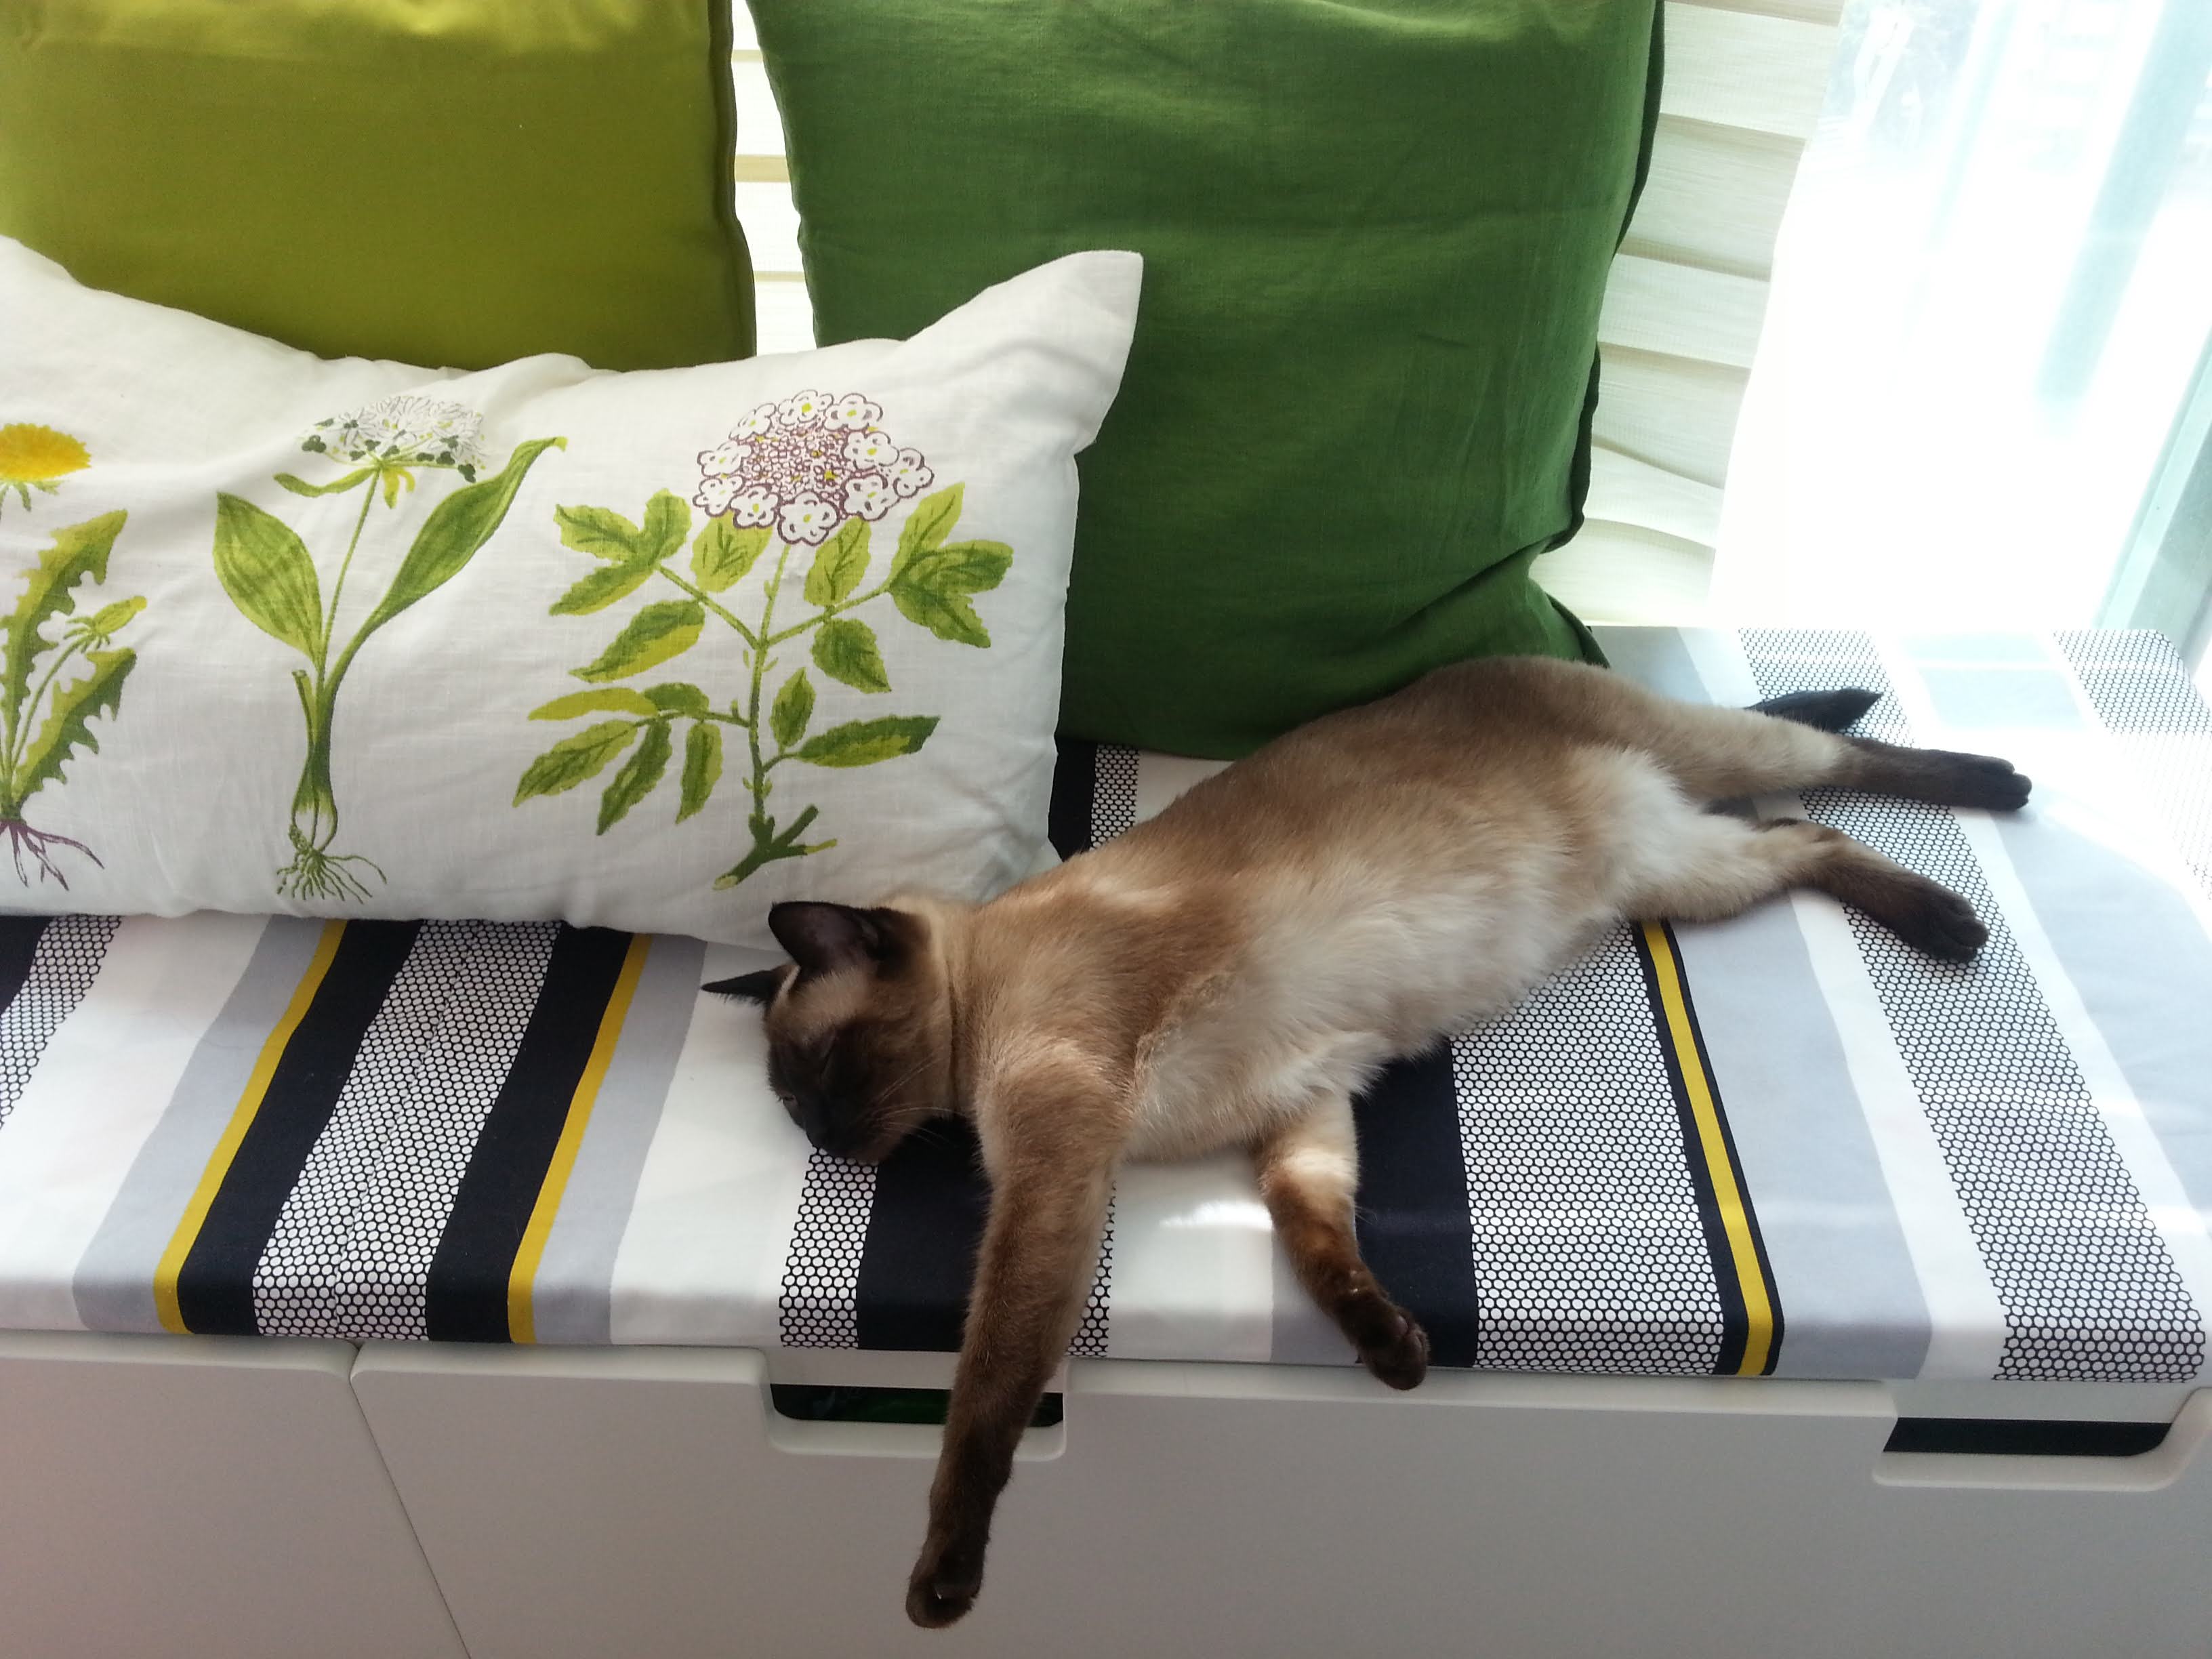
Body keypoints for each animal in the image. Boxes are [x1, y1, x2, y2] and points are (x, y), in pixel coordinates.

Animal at [707, 655, 2030, 1628]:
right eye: (792, 1098)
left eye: (818, 1072)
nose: (818, 1135)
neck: (986, 986)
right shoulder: (1301, 1106)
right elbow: (1316, 1236)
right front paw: (1393, 1353)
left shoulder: (1051, 1161)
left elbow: (984, 1392)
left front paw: (943, 1579)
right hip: (1681, 875)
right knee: (1806, 838)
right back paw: (1948, 917)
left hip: (1707, 768)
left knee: (1825, 761)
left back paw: (1989, 807)